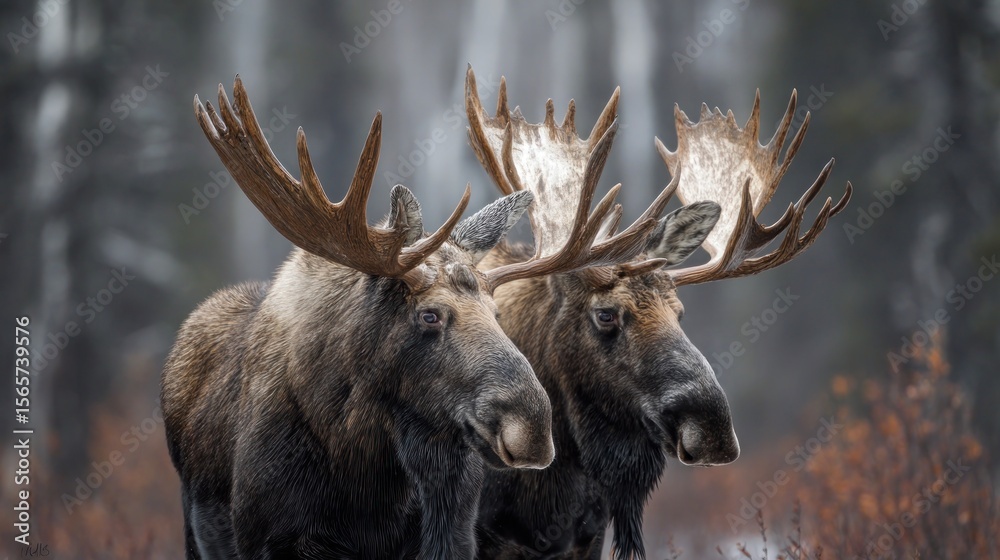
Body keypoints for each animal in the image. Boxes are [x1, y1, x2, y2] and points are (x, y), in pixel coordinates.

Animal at [161, 76, 669, 560]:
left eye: (496, 311)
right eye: (429, 316)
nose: (532, 428)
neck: (363, 469)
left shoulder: (455, 533)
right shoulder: (272, 539)